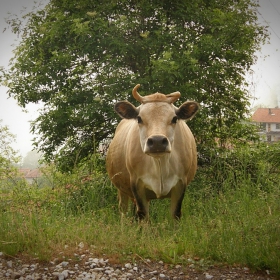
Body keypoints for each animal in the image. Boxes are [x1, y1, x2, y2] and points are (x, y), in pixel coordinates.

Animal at [105, 84, 199, 220]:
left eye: (174, 118)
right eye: (139, 118)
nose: (157, 141)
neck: (159, 163)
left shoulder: (181, 183)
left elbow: (175, 214)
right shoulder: (136, 184)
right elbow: (142, 214)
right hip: (121, 188)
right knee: (123, 210)